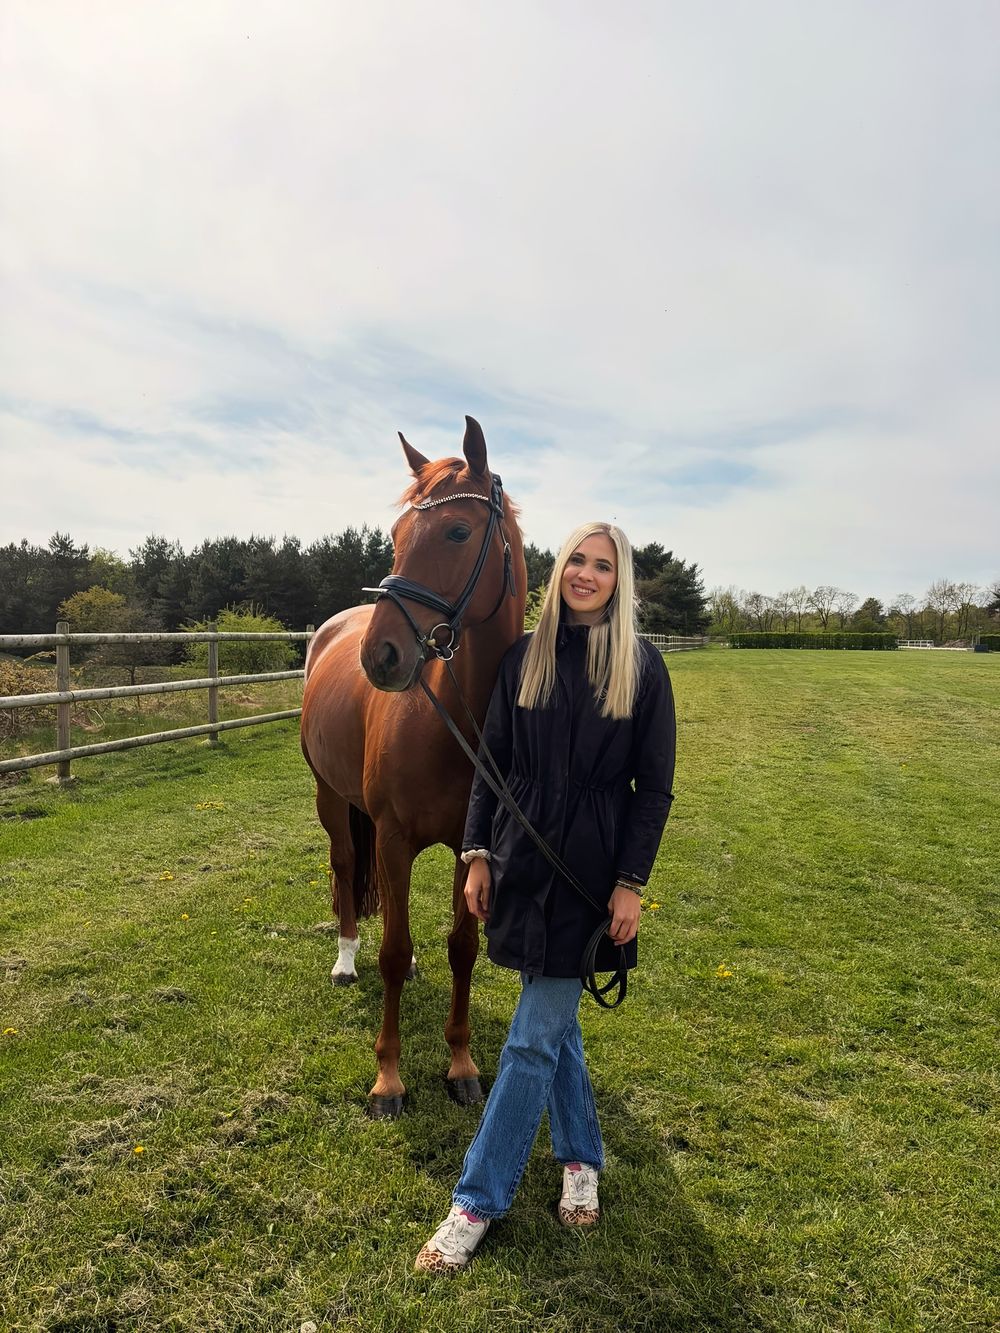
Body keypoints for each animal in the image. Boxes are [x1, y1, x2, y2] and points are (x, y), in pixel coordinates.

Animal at [300, 416, 526, 1118]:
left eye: (457, 531)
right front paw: (389, 1080)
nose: (382, 655)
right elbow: (393, 954)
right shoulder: (394, 838)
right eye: (398, 537)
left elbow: (463, 950)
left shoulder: (470, 850)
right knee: (346, 867)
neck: (456, 719)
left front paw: (461, 1066)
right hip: (331, 800)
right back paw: (346, 959)